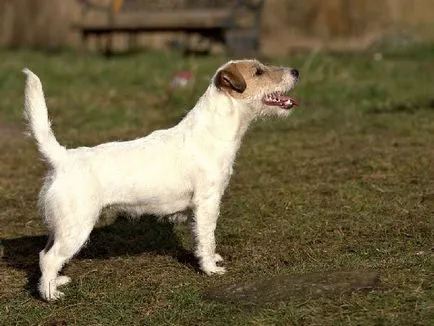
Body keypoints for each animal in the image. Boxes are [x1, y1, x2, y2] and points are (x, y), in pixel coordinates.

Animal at [23, 60, 300, 300]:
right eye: (258, 72)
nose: (296, 71)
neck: (212, 131)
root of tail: (63, 158)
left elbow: (200, 238)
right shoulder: (208, 203)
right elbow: (207, 237)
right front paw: (211, 268)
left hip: (62, 227)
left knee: (45, 253)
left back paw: (56, 281)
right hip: (76, 228)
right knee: (49, 258)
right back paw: (50, 294)